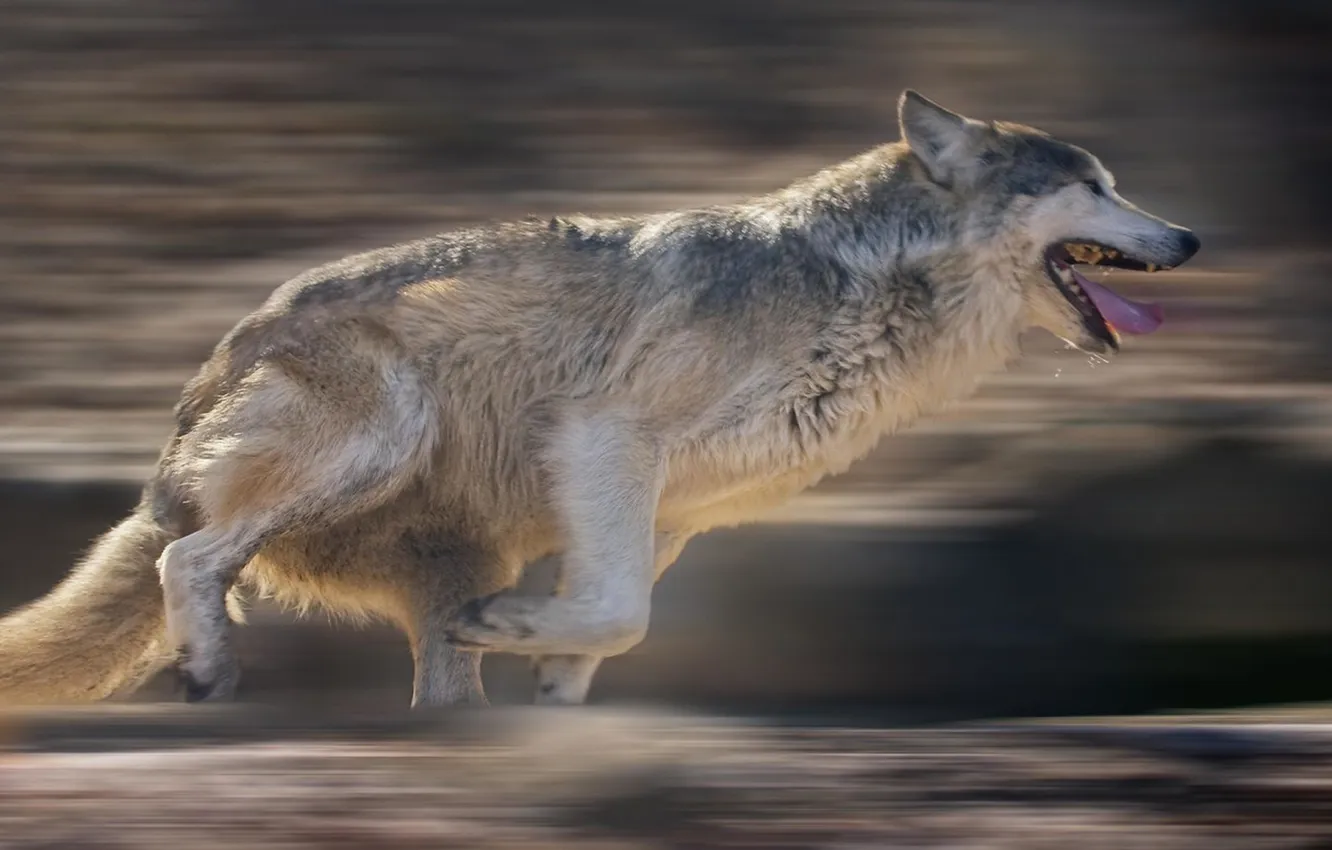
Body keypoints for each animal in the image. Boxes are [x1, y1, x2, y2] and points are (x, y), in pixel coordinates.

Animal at [0, 91, 1198, 707]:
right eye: (1092, 184)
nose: (1190, 237)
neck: (855, 281)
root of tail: (189, 405)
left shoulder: (665, 514)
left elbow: (603, 634)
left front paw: (549, 695)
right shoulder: (605, 439)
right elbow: (621, 615)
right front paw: (530, 647)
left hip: (442, 552)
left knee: (432, 666)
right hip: (376, 435)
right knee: (188, 560)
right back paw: (208, 667)